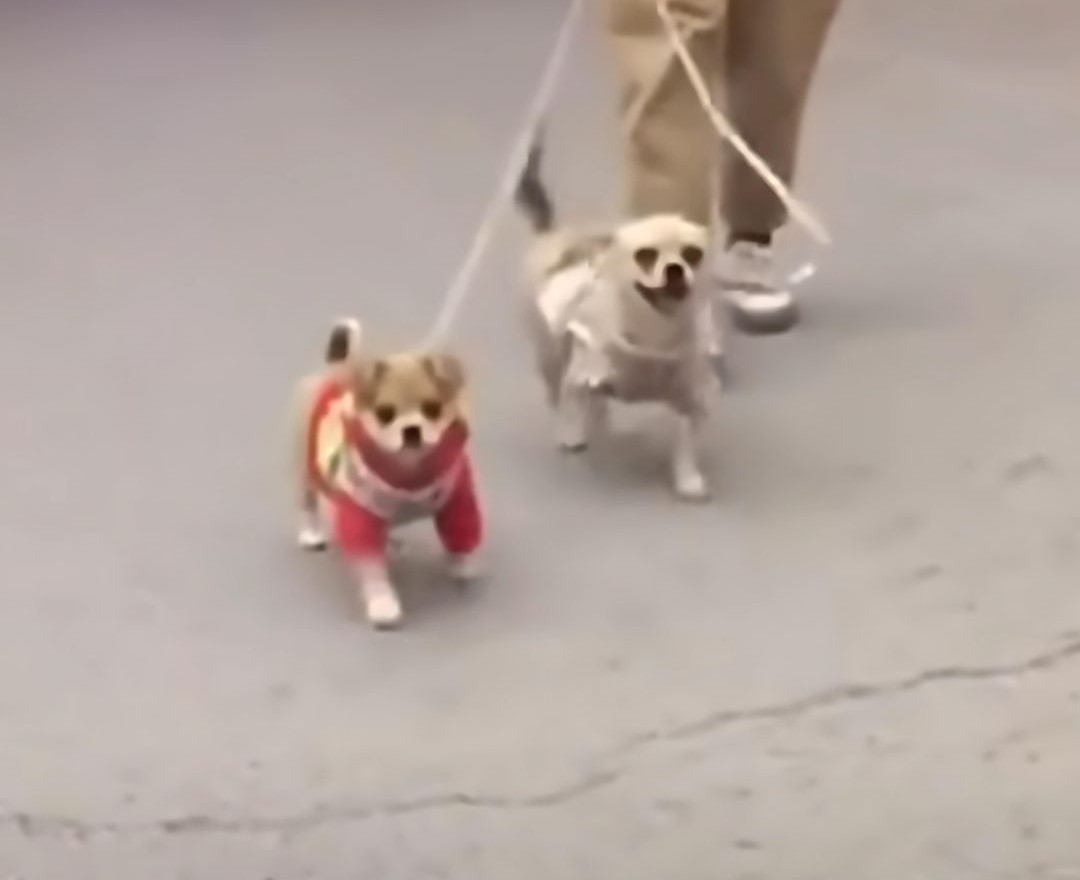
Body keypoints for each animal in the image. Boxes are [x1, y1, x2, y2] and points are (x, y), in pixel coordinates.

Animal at [291, 319, 486, 630]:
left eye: (432, 408)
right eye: (385, 413)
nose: (411, 430)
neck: (410, 472)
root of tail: (337, 369)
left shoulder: (456, 503)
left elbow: (460, 535)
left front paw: (461, 564)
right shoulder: (360, 519)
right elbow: (373, 571)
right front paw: (383, 604)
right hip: (308, 469)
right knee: (307, 502)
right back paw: (311, 533)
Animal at [511, 136, 717, 496]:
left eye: (693, 254)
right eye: (646, 255)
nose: (675, 269)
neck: (654, 335)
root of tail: (554, 232)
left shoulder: (689, 398)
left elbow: (685, 444)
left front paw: (687, 477)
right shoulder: (577, 377)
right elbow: (570, 405)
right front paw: (572, 434)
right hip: (550, 352)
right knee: (557, 391)